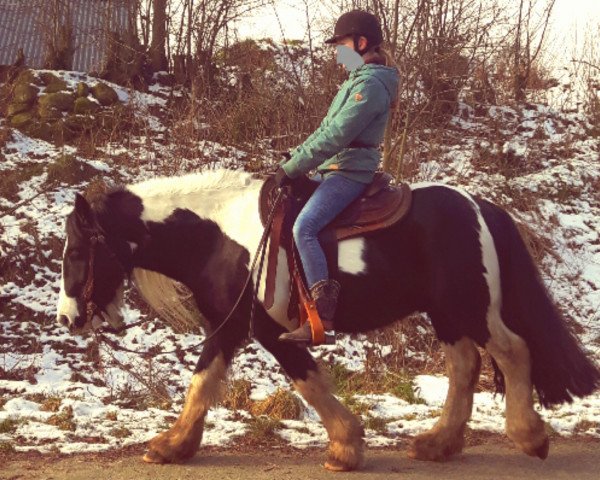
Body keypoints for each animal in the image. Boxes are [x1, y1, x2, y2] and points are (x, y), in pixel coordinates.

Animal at [55, 167, 596, 470]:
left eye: (78, 250)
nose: (66, 319)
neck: (219, 239)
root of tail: (479, 205)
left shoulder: (264, 330)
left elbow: (302, 382)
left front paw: (345, 448)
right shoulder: (229, 327)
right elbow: (206, 383)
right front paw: (175, 446)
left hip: (469, 306)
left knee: (510, 351)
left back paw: (529, 437)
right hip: (446, 312)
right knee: (465, 365)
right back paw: (437, 444)